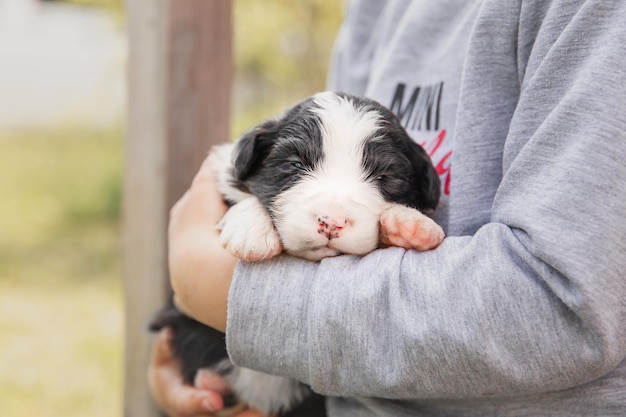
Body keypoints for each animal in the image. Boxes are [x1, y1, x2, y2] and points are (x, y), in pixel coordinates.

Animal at [150, 92, 444, 416]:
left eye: (385, 175)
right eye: (295, 164)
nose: (331, 221)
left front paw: (409, 224)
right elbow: (243, 197)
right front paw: (252, 230)